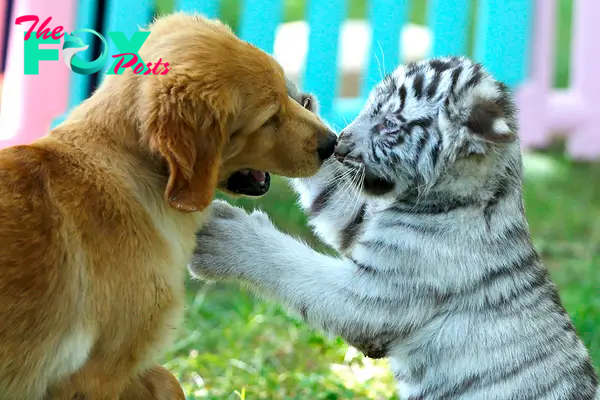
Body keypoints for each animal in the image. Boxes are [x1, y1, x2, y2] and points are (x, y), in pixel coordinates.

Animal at [0, 12, 336, 400]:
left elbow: (166, 379)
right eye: (269, 118)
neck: (131, 170)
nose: (333, 143)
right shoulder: (94, 373)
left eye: (288, 93)